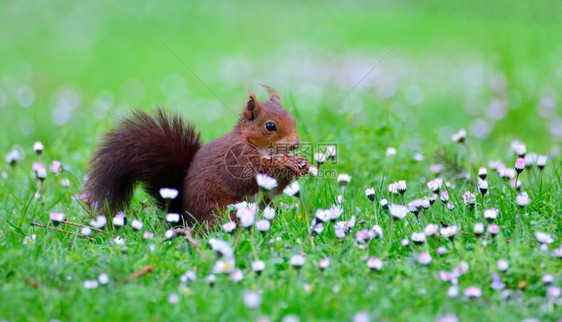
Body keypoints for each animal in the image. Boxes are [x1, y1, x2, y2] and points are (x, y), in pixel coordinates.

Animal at [84, 87, 306, 225]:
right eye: (270, 126)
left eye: (293, 118)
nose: (296, 144)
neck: (257, 146)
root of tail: (185, 221)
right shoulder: (236, 158)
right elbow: (247, 177)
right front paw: (283, 164)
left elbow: (274, 190)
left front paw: (299, 164)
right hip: (222, 209)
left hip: (263, 206)